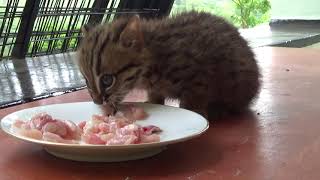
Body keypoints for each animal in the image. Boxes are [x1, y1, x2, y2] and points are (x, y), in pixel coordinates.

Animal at [77, 10, 260, 119]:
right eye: (86, 80)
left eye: (107, 80)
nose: (97, 102)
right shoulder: (155, 87)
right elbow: (155, 95)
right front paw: (153, 102)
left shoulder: (198, 78)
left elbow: (193, 103)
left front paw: (194, 113)